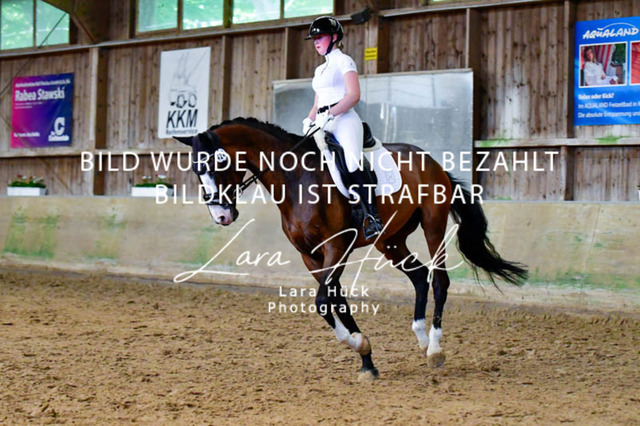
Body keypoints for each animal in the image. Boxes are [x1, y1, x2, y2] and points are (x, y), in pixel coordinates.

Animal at [174, 117, 527, 380]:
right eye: (195, 169)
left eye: (219, 162)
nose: (221, 216)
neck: (295, 179)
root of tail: (431, 161)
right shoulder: (310, 256)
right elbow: (337, 301)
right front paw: (366, 357)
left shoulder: (336, 246)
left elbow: (322, 302)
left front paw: (356, 343)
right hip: (390, 240)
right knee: (418, 277)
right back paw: (421, 337)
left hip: (433, 225)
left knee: (439, 279)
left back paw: (435, 350)